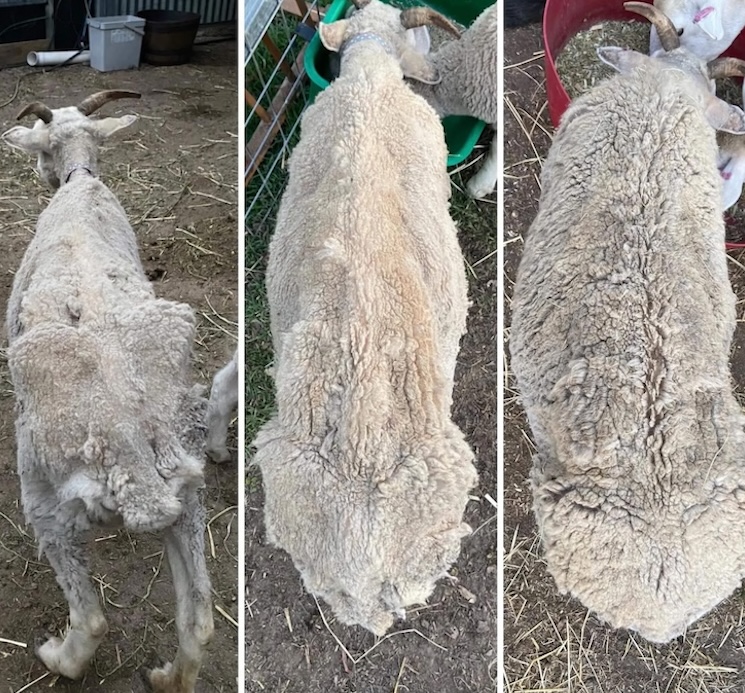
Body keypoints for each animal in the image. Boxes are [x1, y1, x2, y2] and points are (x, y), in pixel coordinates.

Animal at [1, 91, 213, 691]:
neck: (80, 180)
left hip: (46, 498)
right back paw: (169, 677)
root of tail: (134, 463)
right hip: (188, 487)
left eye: (39, 149)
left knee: (92, 616)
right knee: (200, 618)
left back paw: (59, 657)